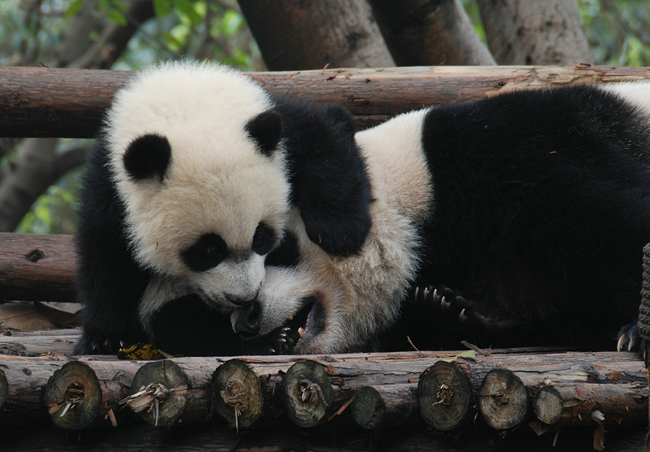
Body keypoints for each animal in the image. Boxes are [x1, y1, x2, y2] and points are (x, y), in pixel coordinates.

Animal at [74, 61, 370, 356]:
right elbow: (106, 256)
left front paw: (341, 230)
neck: (187, 107)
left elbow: (323, 136)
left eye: (261, 238)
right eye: (210, 250)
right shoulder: (111, 183)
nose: (243, 297)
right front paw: (106, 338)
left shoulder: (276, 124)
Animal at [234, 83, 650, 354]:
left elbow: (612, 220)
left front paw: (635, 330)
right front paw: (441, 307)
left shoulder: (513, 153)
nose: (245, 321)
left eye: (278, 249)